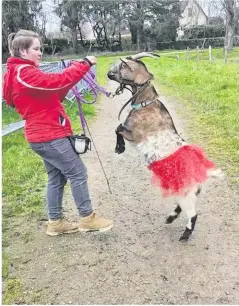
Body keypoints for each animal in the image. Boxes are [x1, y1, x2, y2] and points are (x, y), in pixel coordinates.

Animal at [107, 51, 223, 240]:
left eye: (123, 65)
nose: (108, 73)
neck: (145, 102)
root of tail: (201, 173)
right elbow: (117, 127)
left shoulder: (135, 135)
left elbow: (118, 128)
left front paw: (119, 148)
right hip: (183, 191)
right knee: (181, 208)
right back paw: (170, 218)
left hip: (186, 194)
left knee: (193, 214)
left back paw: (185, 235)